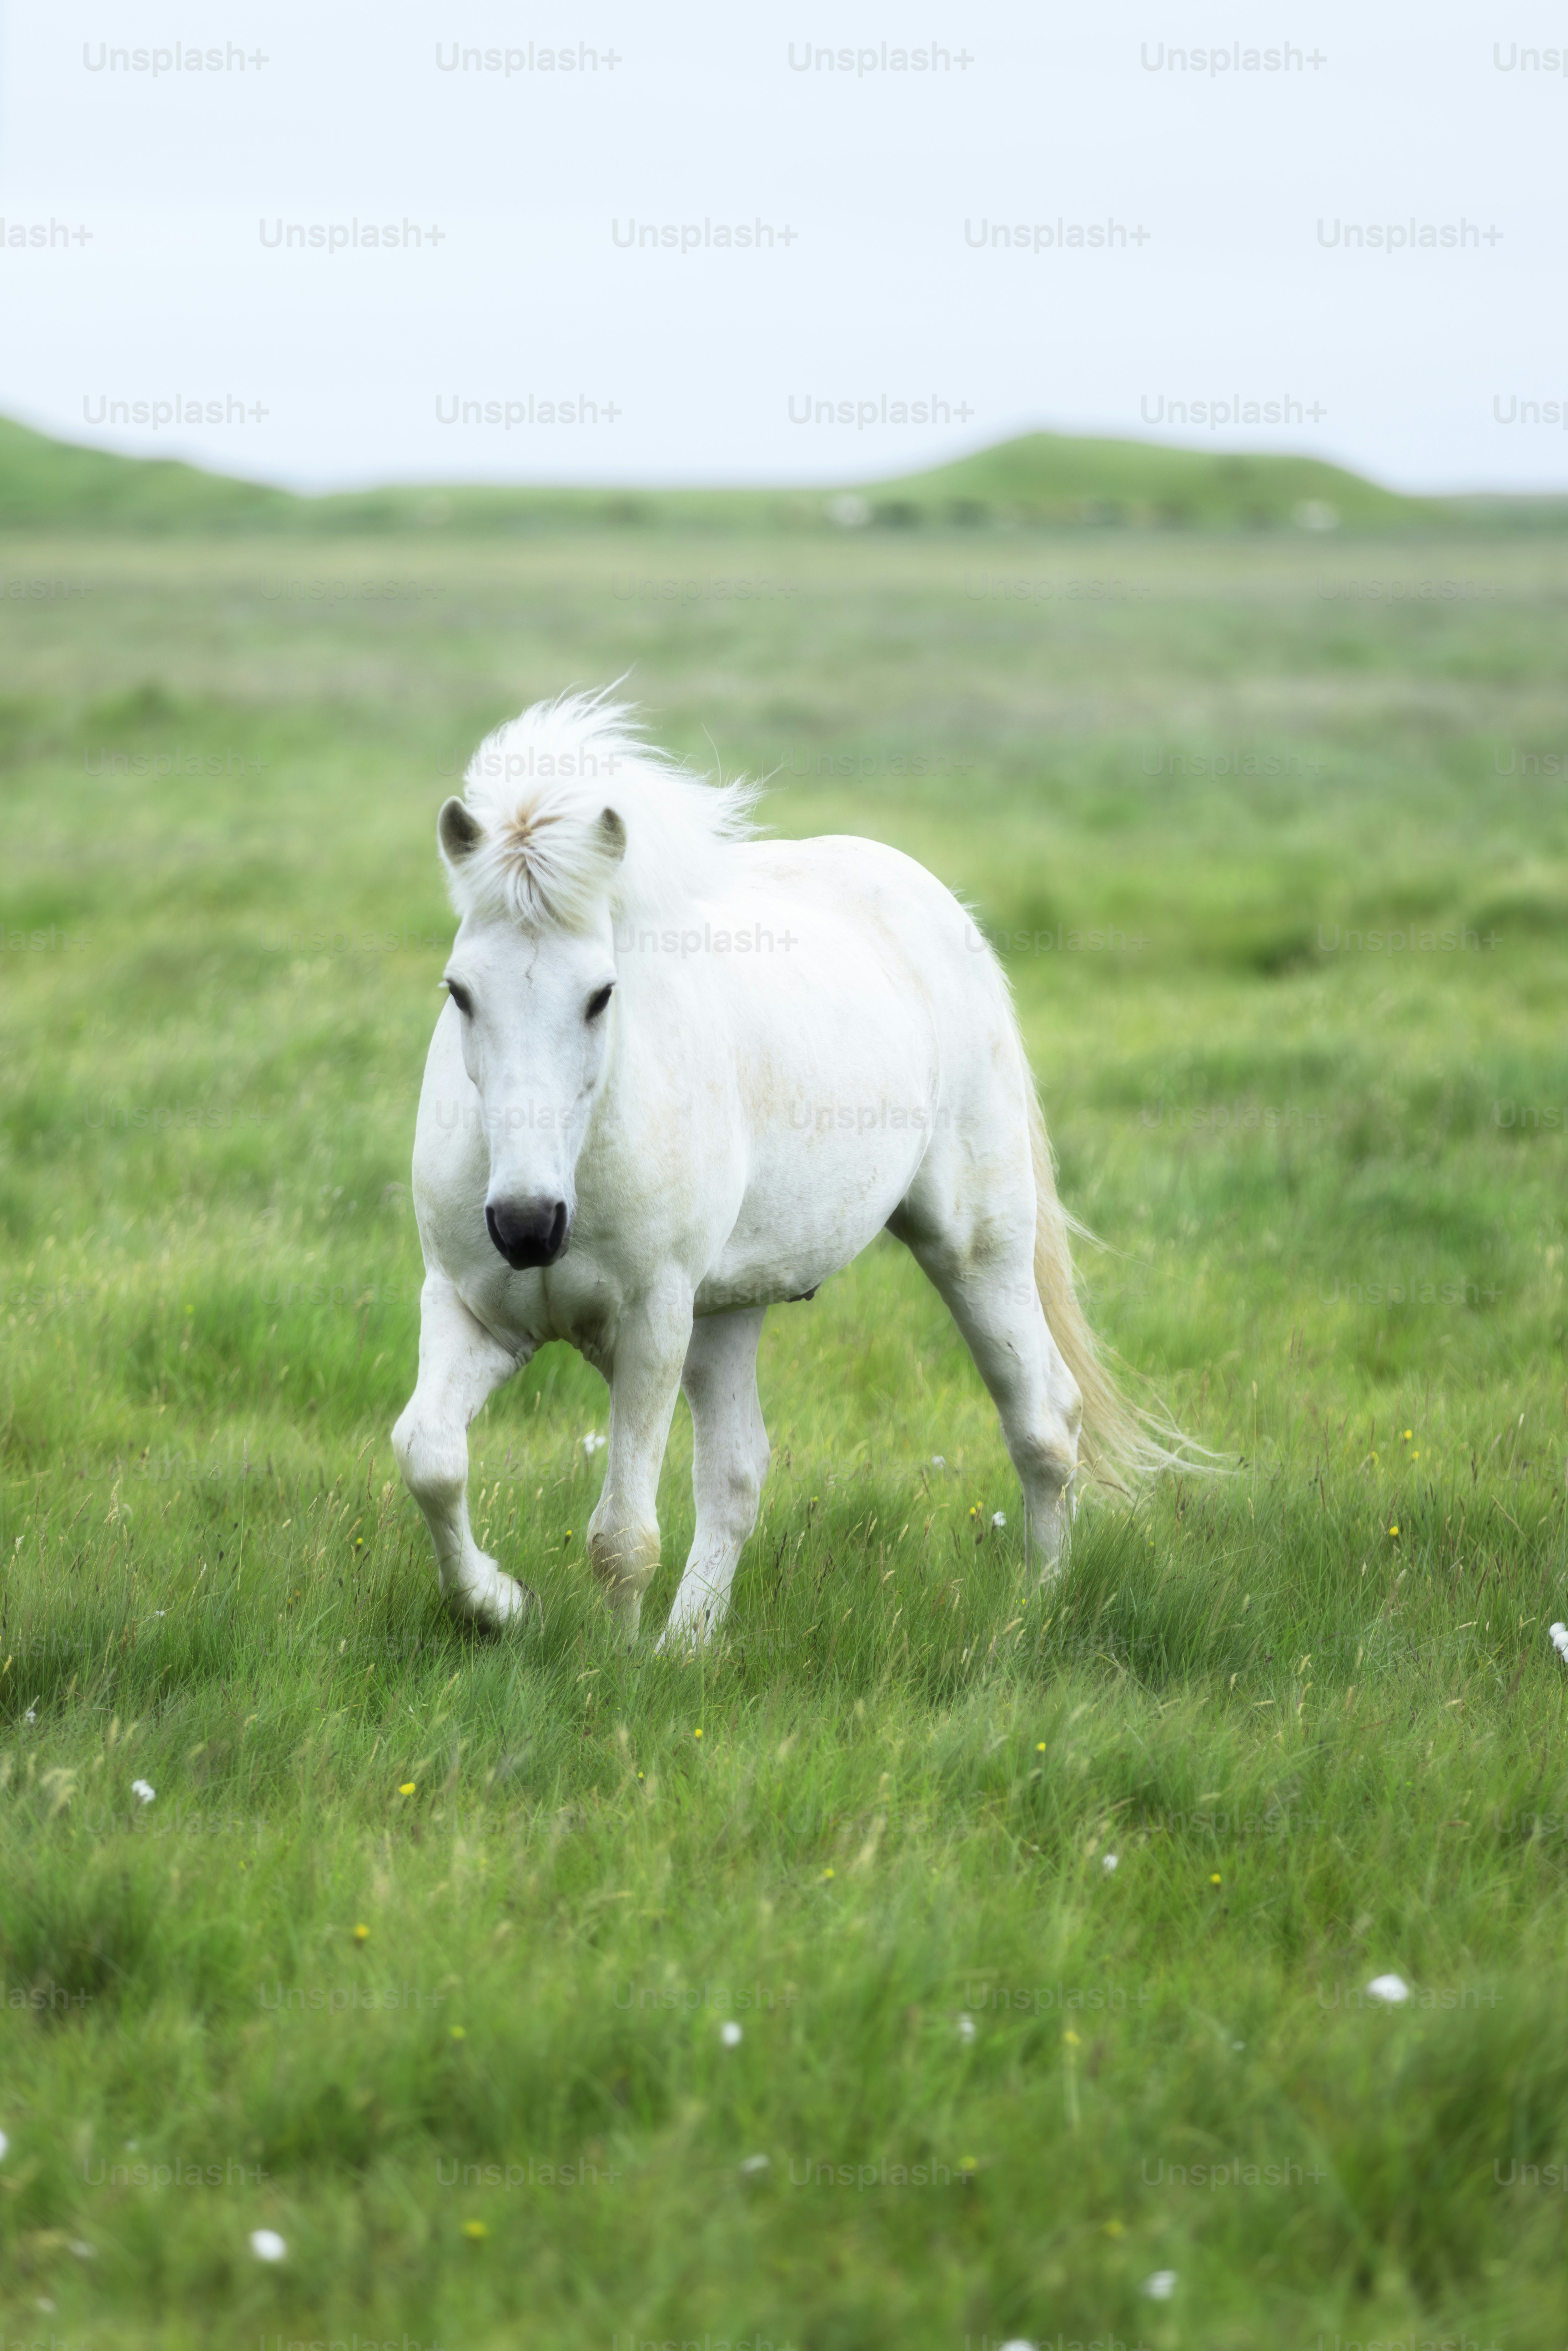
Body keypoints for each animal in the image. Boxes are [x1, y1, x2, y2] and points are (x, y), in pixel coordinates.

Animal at [391, 690, 1169, 1646]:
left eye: (601, 995)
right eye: (459, 992)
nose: (527, 1226)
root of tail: (935, 904)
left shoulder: (651, 1327)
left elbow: (622, 1538)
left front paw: (610, 1664)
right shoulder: (473, 1312)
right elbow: (430, 1457)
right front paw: (502, 1604)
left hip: (974, 1247)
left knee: (1043, 1423)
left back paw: (1035, 1612)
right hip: (730, 1312)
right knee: (736, 1475)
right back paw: (687, 1649)